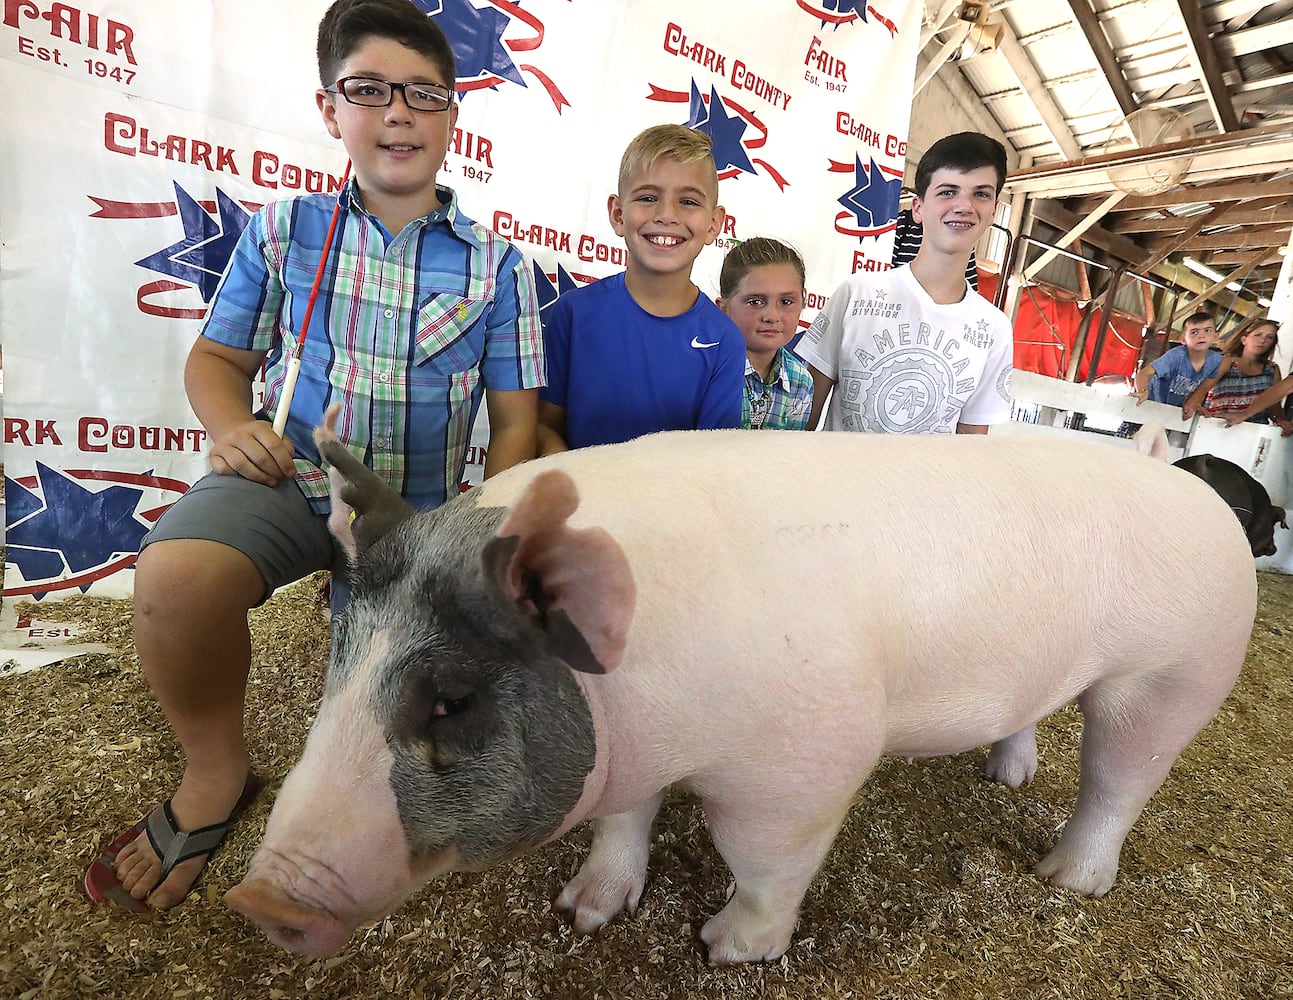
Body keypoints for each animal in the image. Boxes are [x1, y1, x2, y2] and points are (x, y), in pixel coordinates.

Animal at [222, 408, 1251, 962]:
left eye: (451, 700)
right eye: (339, 662)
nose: (258, 901)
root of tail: (1192, 489)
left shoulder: (803, 764)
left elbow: (762, 859)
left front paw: (724, 949)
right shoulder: (629, 756)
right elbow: (621, 821)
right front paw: (583, 911)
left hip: (1176, 669)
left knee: (1121, 778)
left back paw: (1063, 879)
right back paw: (1006, 777)